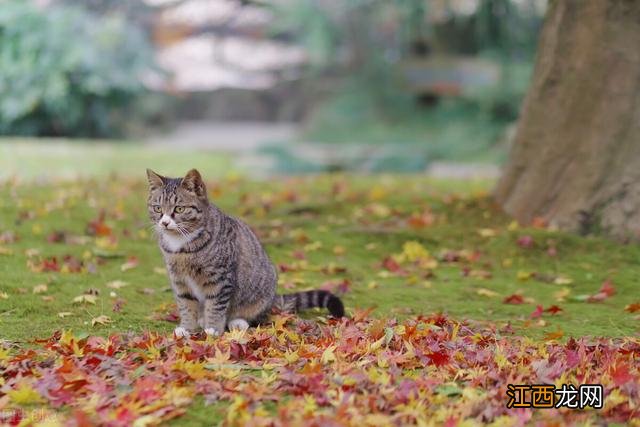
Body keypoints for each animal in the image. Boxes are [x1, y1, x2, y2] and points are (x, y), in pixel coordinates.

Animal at [146, 168, 344, 338]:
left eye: (179, 209)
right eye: (157, 208)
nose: (164, 223)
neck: (181, 245)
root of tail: (274, 298)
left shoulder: (220, 278)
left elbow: (215, 305)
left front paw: (213, 328)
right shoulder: (179, 280)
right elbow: (186, 304)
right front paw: (187, 328)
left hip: (261, 293)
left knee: (257, 316)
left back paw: (237, 322)